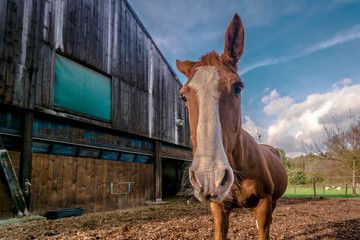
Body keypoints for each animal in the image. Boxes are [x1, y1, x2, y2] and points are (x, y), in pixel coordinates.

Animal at [176, 14, 288, 239]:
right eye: (183, 95)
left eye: (238, 87)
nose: (209, 177)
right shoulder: (219, 209)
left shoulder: (264, 204)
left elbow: (263, 230)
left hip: (274, 201)